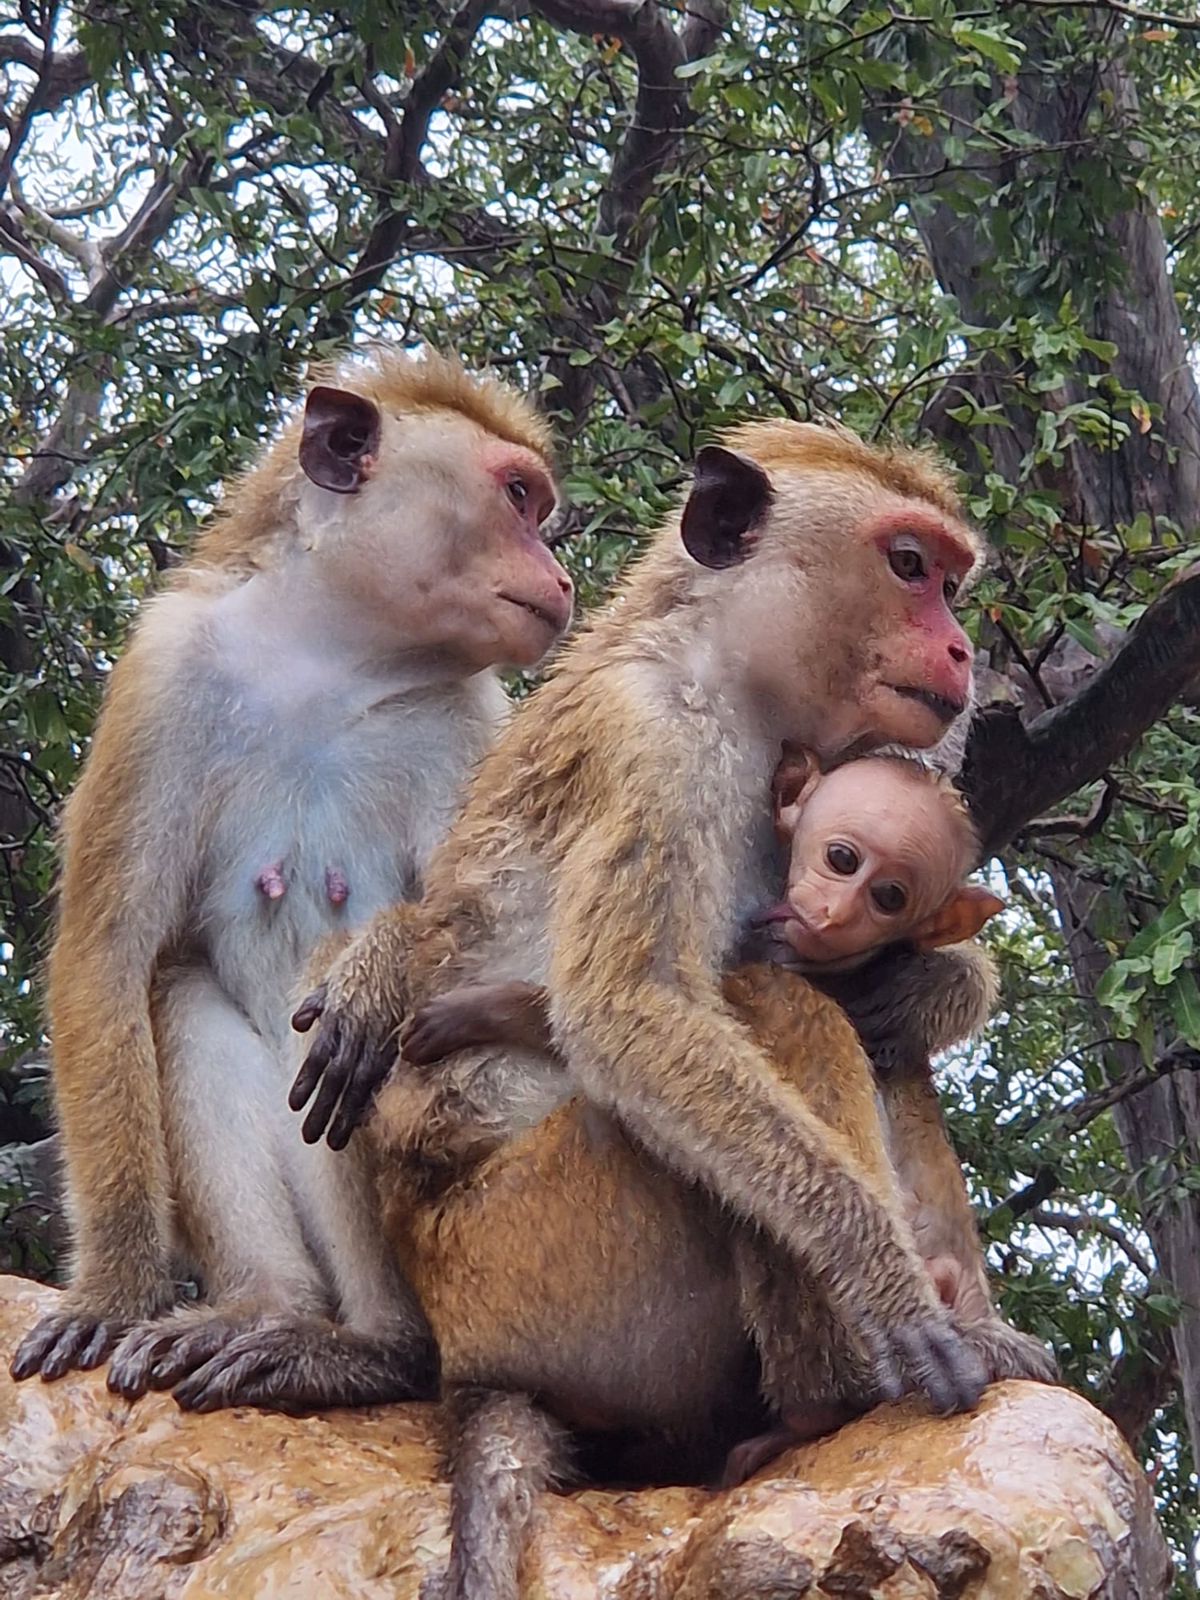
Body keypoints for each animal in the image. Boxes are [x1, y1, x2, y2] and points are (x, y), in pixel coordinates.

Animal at [9, 350, 575, 1414]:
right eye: (518, 497)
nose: (561, 574)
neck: (335, 658)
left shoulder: (476, 718)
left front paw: (376, 977)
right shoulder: (165, 670)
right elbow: (109, 957)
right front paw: (114, 1290)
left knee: (365, 1050)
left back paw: (376, 1350)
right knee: (180, 992)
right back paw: (266, 1306)